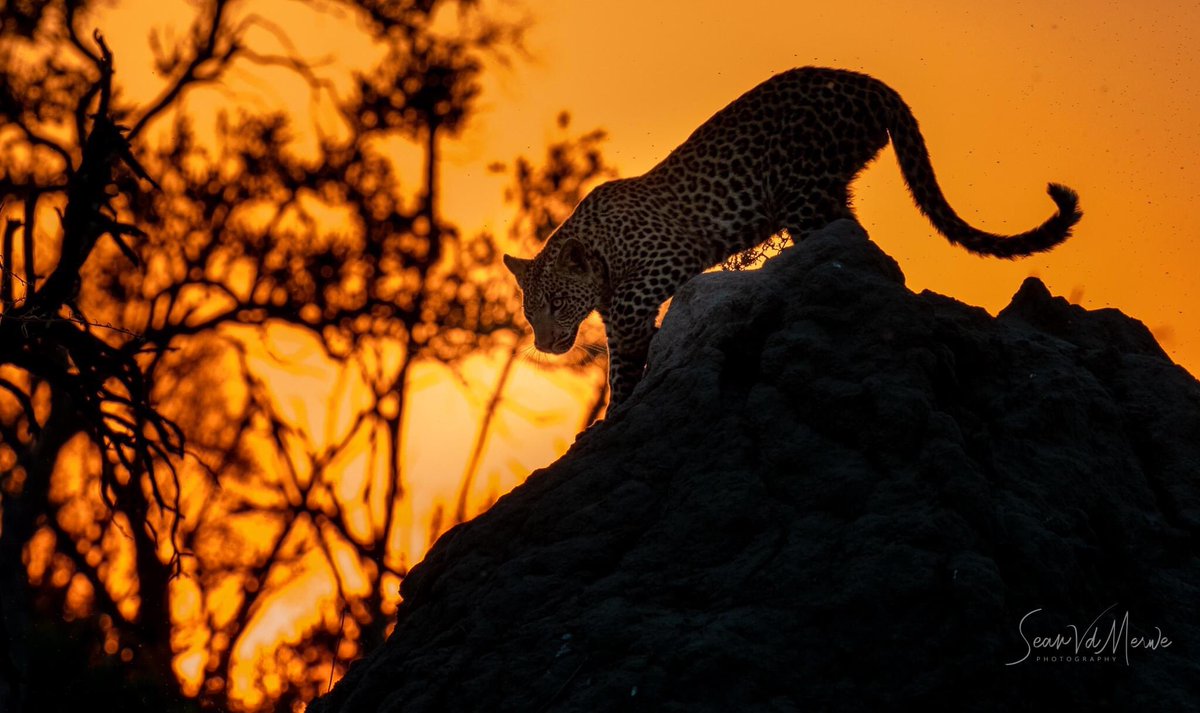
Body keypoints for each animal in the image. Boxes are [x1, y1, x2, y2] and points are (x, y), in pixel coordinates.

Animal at [503, 67, 1082, 411]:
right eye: (531, 312)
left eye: (556, 303)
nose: (544, 343)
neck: (600, 254)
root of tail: (868, 82)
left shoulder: (635, 303)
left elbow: (622, 372)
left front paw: (611, 418)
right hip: (824, 191)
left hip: (805, 191)